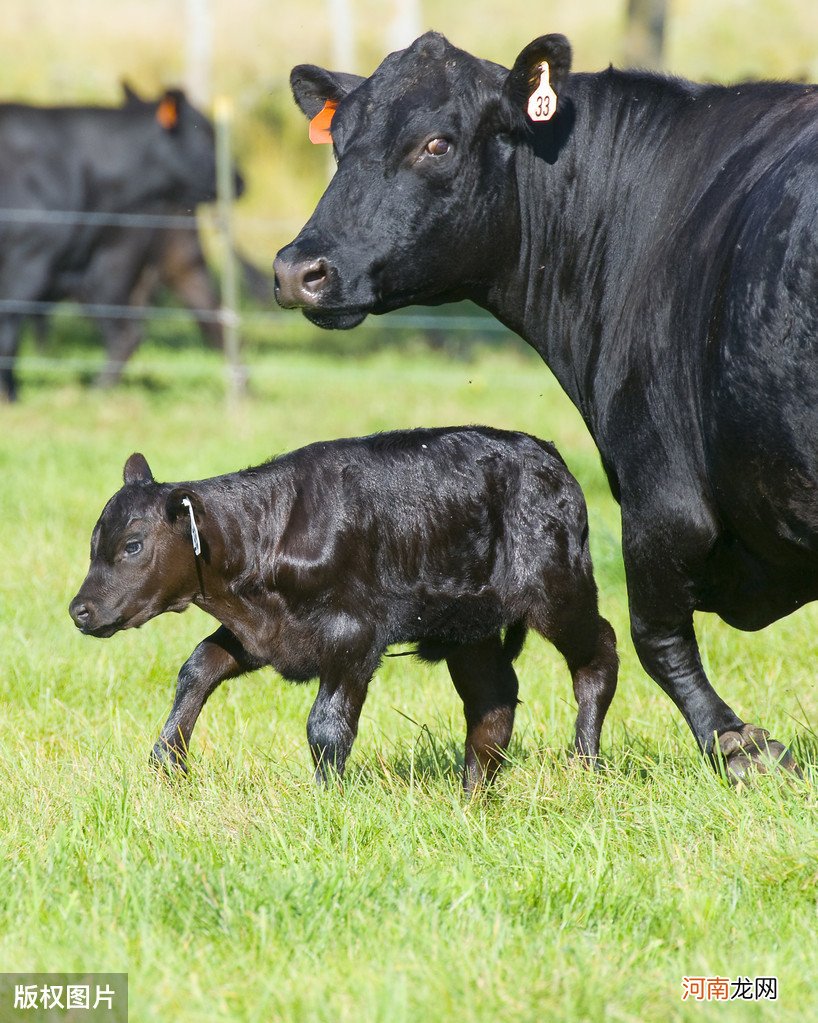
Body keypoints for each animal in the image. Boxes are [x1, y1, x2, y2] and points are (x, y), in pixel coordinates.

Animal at [70, 429, 617, 789]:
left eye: (133, 545)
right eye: (94, 543)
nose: (79, 610)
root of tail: (547, 453)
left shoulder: (354, 634)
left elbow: (327, 726)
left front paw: (324, 799)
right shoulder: (261, 633)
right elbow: (199, 667)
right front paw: (168, 760)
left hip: (559, 590)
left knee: (600, 654)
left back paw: (584, 765)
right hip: (468, 625)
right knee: (493, 700)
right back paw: (472, 796)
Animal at [276, 34, 818, 781]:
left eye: (437, 144)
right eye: (338, 142)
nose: (297, 270)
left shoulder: (661, 488)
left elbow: (654, 637)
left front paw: (741, 746)